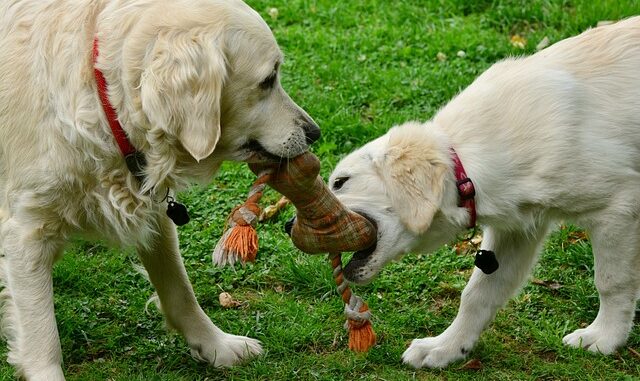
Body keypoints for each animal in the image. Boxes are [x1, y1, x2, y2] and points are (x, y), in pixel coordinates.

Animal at [0, 1, 320, 378]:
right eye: (268, 80)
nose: (314, 132)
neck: (103, 96)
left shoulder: (155, 212)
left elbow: (180, 290)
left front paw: (217, 346)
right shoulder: (28, 232)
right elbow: (42, 334)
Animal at [330, 17, 640, 368]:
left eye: (341, 181)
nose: (295, 226)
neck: (466, 164)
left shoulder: (617, 206)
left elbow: (612, 281)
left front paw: (605, 338)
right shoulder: (517, 230)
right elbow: (478, 293)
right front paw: (446, 347)